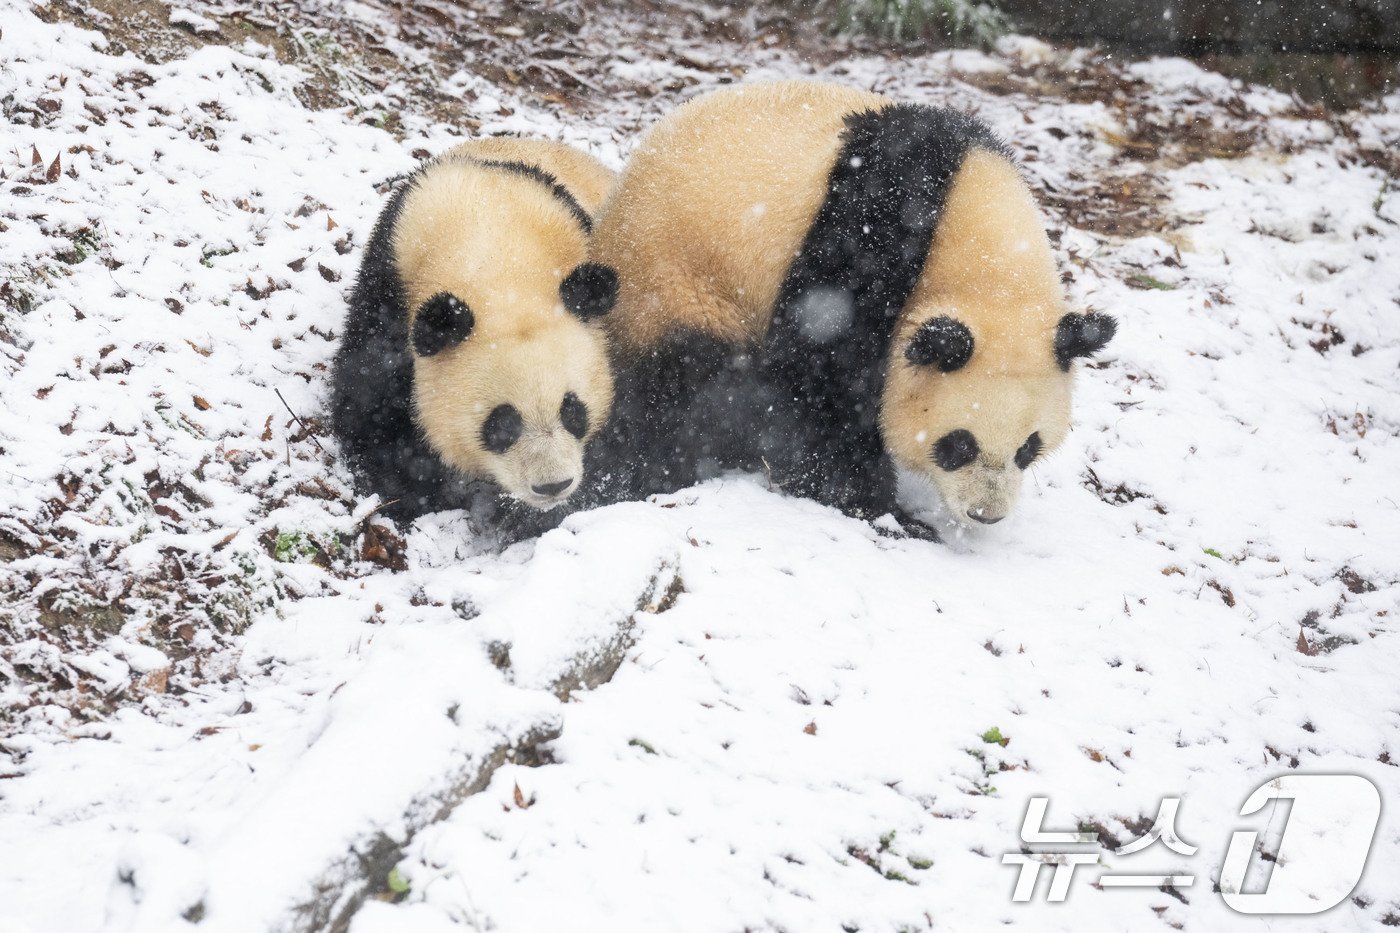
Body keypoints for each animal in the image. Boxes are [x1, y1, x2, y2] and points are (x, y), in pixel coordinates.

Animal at [333, 136, 618, 515]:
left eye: (573, 411)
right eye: (502, 424)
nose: (552, 486)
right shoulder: (389, 279)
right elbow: (369, 396)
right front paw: (414, 489)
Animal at [588, 83, 1114, 535]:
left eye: (1029, 447)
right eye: (958, 444)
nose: (986, 514)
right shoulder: (868, 233)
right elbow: (819, 380)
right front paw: (887, 511)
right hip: (680, 287)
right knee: (687, 391)